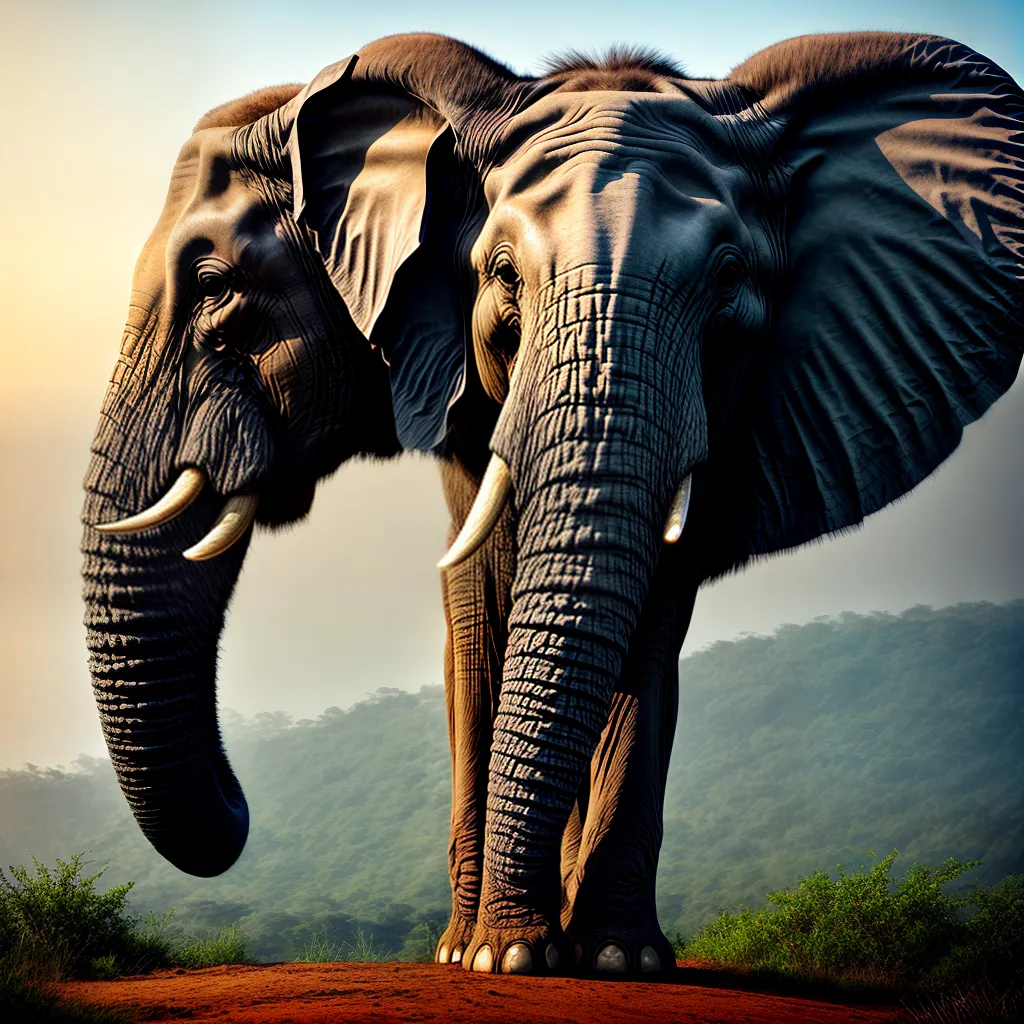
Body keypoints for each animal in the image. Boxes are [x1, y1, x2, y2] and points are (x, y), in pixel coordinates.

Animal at [83, 31, 1023, 977]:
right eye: (502, 276)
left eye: (729, 285)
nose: (238, 800)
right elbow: (482, 602)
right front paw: (490, 956)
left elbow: (646, 621)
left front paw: (607, 960)